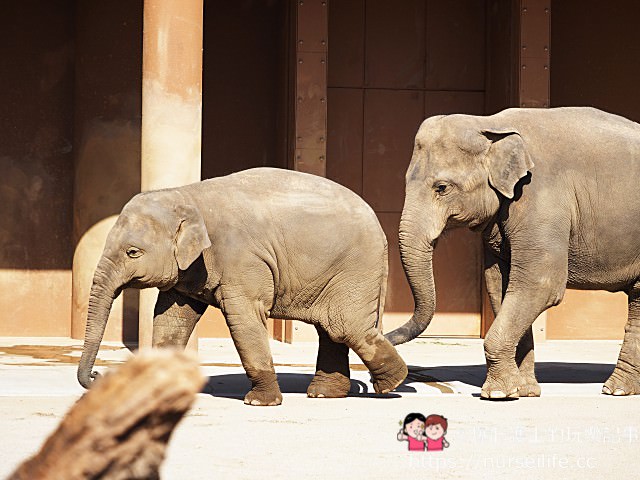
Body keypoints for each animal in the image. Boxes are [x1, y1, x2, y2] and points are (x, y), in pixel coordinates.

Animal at [79, 167, 404, 404]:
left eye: (132, 252)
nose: (97, 375)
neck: (188, 195)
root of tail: (380, 227)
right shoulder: (190, 269)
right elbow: (170, 319)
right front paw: (155, 394)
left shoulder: (242, 259)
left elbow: (244, 318)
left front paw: (259, 402)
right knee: (331, 328)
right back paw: (325, 394)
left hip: (356, 267)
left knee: (345, 326)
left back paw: (392, 384)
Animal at [382, 107, 640, 400]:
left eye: (442, 187)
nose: (384, 337)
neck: (490, 123)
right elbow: (499, 284)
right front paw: (524, 391)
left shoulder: (542, 199)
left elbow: (540, 284)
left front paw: (497, 394)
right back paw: (618, 389)